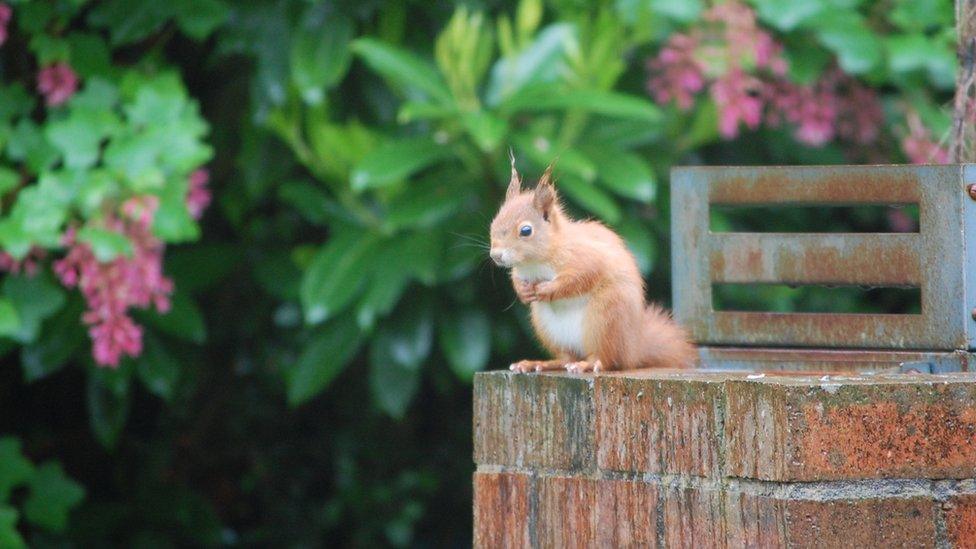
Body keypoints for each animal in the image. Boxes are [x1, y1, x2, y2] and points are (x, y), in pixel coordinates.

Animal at [488, 158, 692, 372]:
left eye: (526, 231)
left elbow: (582, 276)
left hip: (605, 316)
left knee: (606, 359)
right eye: (494, 222)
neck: (534, 262)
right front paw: (523, 291)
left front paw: (547, 289)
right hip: (547, 326)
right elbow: (516, 278)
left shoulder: (586, 257)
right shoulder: (521, 271)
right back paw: (539, 363)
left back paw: (588, 364)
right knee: (566, 357)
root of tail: (632, 351)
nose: (496, 255)